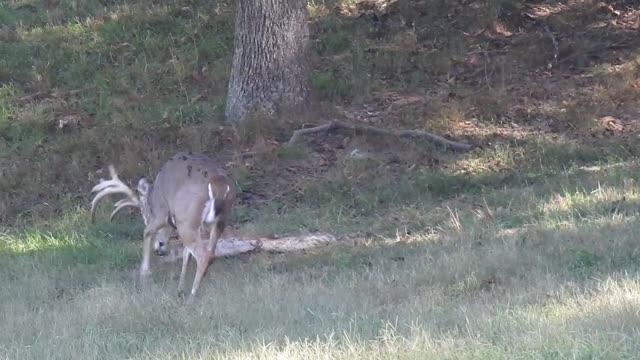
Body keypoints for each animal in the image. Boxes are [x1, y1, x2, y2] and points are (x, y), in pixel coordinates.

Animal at [89, 152, 236, 304]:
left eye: (145, 215)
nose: (159, 248)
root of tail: (218, 184)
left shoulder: (161, 214)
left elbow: (147, 232)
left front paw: (144, 277)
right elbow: (186, 254)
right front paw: (179, 289)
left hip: (186, 219)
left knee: (203, 256)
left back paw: (191, 298)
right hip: (219, 221)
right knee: (210, 253)